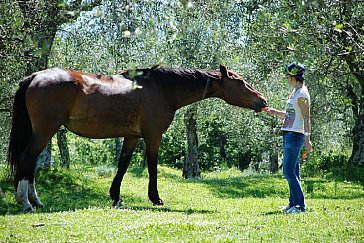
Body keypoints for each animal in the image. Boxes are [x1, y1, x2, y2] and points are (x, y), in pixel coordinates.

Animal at [6, 64, 268, 211]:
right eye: (240, 82)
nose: (262, 101)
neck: (162, 89)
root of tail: (35, 76)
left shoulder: (131, 137)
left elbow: (122, 166)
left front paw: (116, 198)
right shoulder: (153, 136)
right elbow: (152, 166)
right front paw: (156, 199)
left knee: (30, 163)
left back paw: (36, 201)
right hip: (44, 131)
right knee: (27, 159)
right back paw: (26, 203)